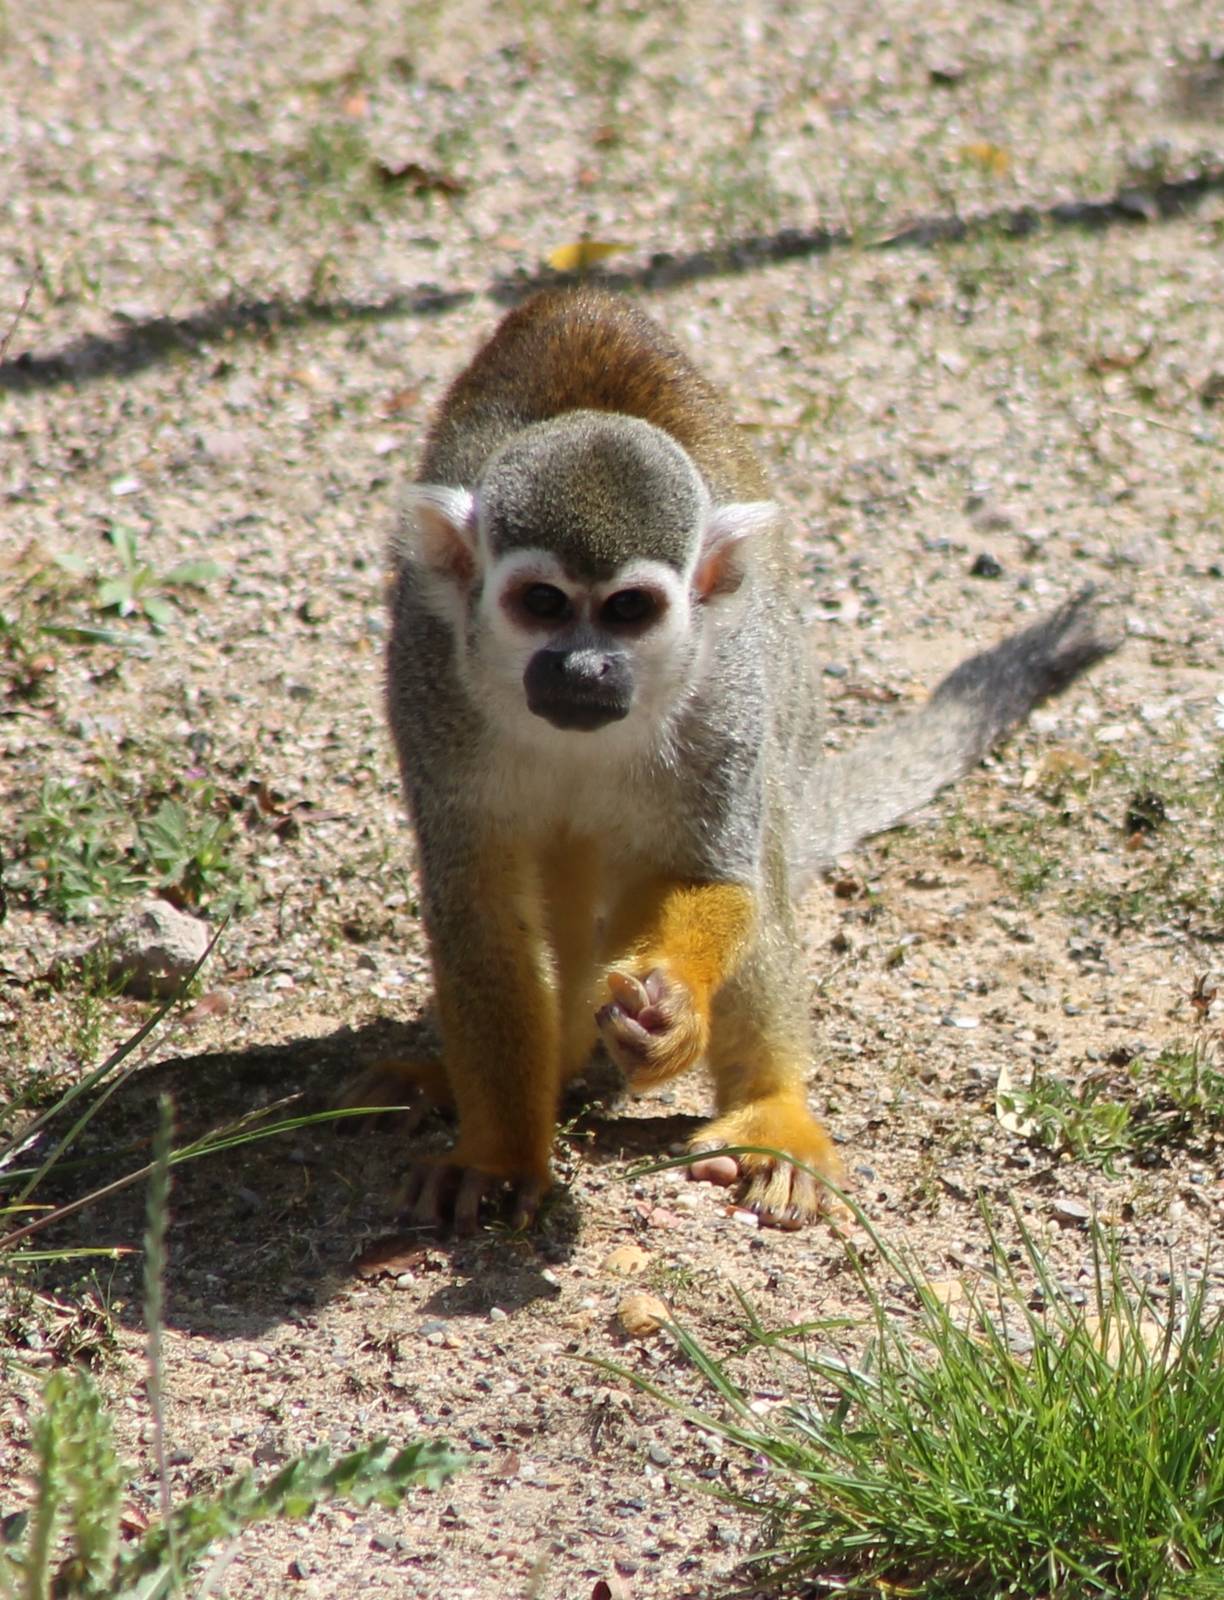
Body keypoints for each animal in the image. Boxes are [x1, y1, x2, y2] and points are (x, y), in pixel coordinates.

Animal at [350, 286, 1118, 1232]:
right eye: (542, 603)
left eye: (630, 610)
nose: (585, 669)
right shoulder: (431, 685)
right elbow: (479, 916)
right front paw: (495, 1154)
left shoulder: (724, 689)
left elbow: (717, 873)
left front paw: (672, 1011)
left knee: (764, 854)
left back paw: (766, 1110)